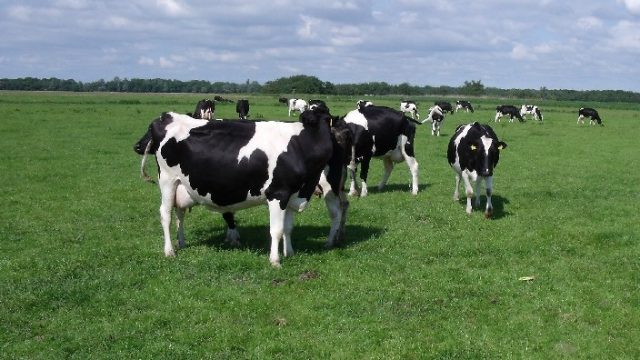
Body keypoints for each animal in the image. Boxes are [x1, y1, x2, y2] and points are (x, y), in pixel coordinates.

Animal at [133, 107, 352, 268]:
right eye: (314, 121)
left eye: (327, 120)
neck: (298, 146)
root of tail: (166, 116)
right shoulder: (277, 194)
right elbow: (276, 230)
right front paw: (275, 261)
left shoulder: (292, 195)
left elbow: (288, 228)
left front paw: (289, 253)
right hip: (167, 180)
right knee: (166, 214)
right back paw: (169, 251)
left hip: (181, 186)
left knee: (179, 213)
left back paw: (182, 242)